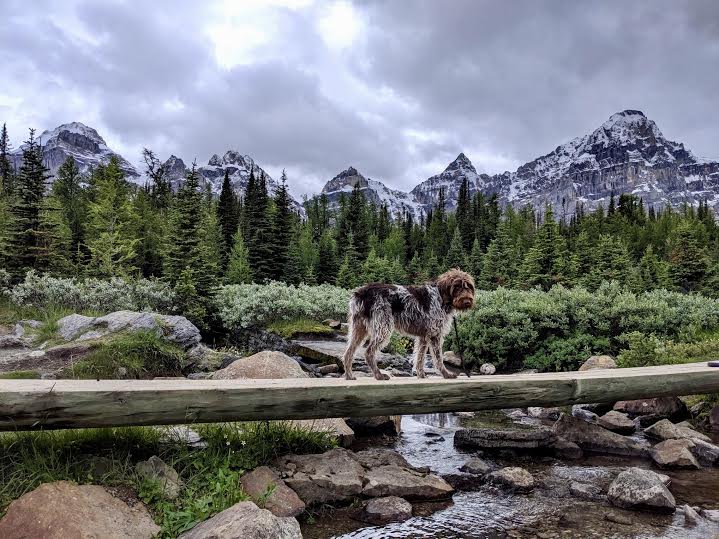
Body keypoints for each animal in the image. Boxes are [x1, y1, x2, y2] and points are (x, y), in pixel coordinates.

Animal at [342, 268, 476, 380]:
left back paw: (349, 376)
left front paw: (421, 375)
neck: (441, 297)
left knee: (348, 353)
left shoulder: (423, 337)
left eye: (469, 287)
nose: (467, 301)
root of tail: (361, 292)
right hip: (383, 328)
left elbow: (420, 358)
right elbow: (438, 359)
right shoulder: (434, 334)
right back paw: (379, 375)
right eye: (457, 287)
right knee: (369, 352)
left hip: (358, 329)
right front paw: (446, 374)